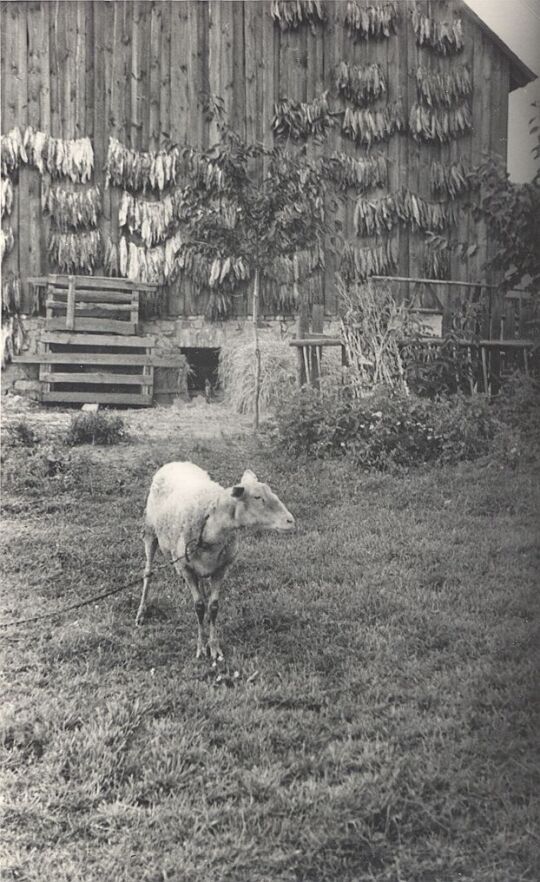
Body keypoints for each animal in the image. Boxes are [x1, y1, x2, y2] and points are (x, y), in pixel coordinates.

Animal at [135, 460, 296, 660]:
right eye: (257, 497)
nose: (290, 521)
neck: (211, 527)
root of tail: (176, 462)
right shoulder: (185, 568)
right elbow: (198, 606)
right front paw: (200, 647)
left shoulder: (221, 568)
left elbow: (212, 607)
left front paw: (214, 647)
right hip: (150, 531)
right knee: (148, 574)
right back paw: (141, 612)